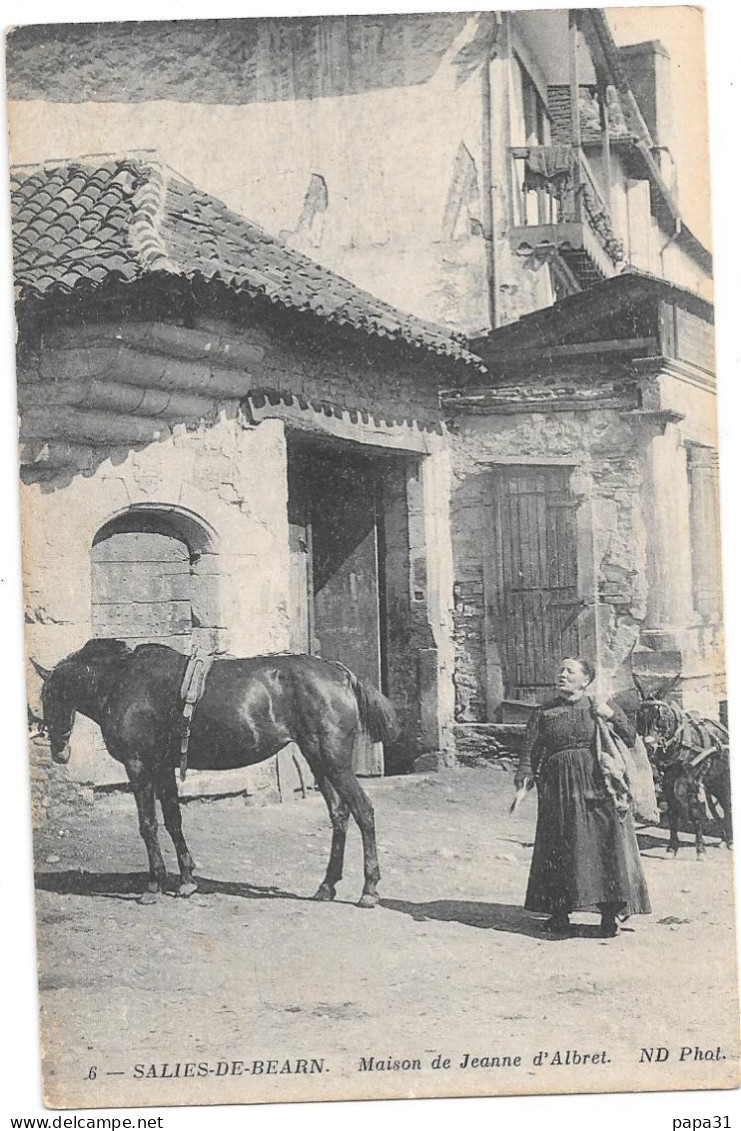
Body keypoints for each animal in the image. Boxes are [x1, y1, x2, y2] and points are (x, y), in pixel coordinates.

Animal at [33, 642, 400, 904]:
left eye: (49, 697)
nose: (59, 751)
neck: (122, 682)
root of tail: (340, 673)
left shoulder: (139, 766)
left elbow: (148, 825)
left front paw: (154, 885)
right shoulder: (163, 767)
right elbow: (173, 821)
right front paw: (186, 881)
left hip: (334, 761)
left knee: (363, 811)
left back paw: (369, 890)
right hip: (318, 761)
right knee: (339, 814)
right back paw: (326, 886)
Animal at [633, 674, 733, 850]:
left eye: (661, 718)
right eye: (640, 717)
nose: (649, 748)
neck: (677, 743)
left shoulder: (690, 782)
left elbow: (693, 811)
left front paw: (700, 848)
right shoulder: (667, 783)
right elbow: (672, 812)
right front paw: (673, 846)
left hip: (723, 778)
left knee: (727, 804)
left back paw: (729, 840)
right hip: (712, 781)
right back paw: (724, 839)